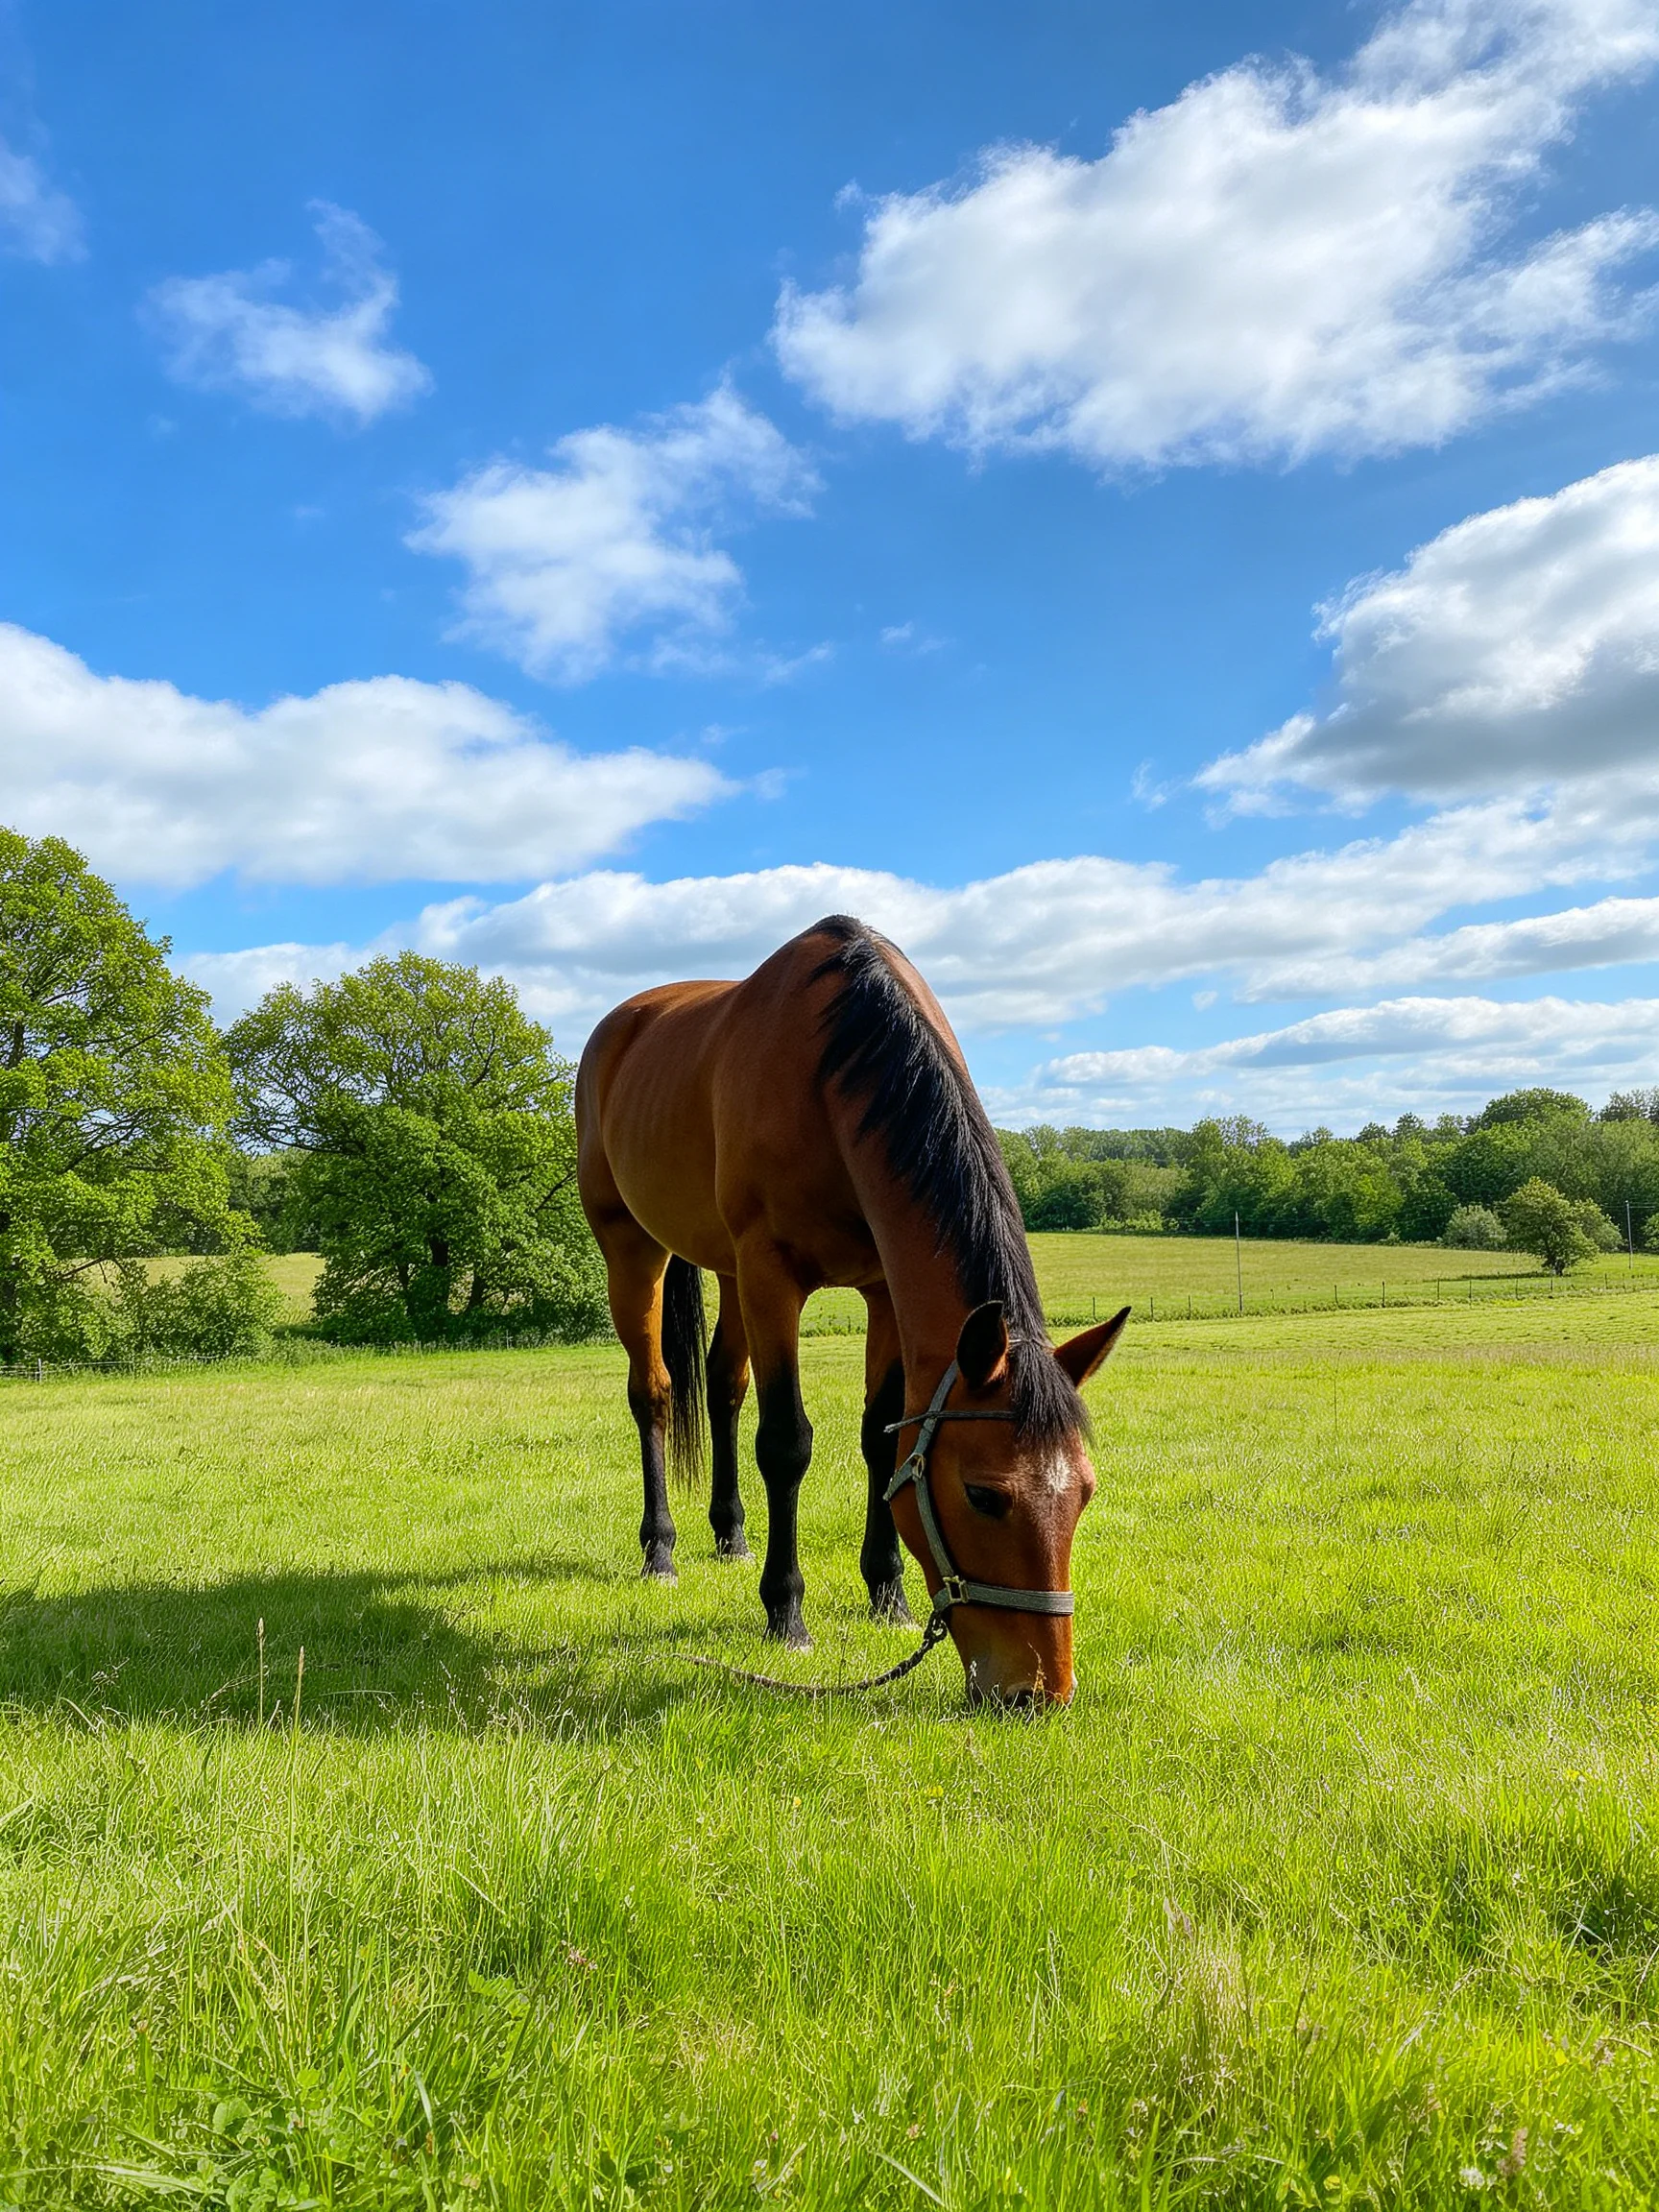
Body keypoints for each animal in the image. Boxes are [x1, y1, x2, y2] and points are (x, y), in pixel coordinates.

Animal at [574, 915, 1129, 1706]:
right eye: (983, 1495)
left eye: (1083, 1492)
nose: (1037, 1692)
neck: (830, 1072)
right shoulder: (772, 1276)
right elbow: (786, 1442)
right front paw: (786, 1613)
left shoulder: (881, 1290)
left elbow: (879, 1436)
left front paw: (886, 1593)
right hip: (634, 1251)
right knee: (653, 1392)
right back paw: (662, 1549)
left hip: (725, 1268)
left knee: (722, 1386)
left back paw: (730, 1534)